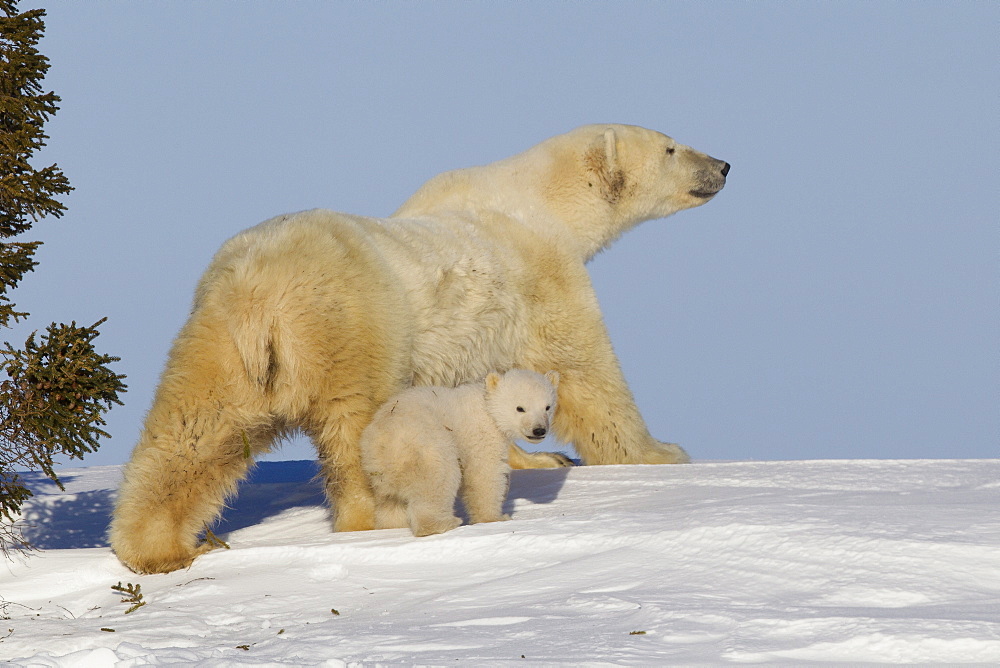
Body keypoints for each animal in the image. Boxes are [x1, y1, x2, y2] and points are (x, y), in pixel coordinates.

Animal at [111, 125, 728, 576]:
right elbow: (586, 372)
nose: (723, 166)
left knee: (192, 432)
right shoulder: (541, 278)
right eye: (672, 145)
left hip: (217, 346)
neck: (537, 204)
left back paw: (156, 547)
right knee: (356, 428)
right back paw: (374, 520)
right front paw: (662, 452)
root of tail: (259, 296)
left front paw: (538, 458)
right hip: (352, 326)